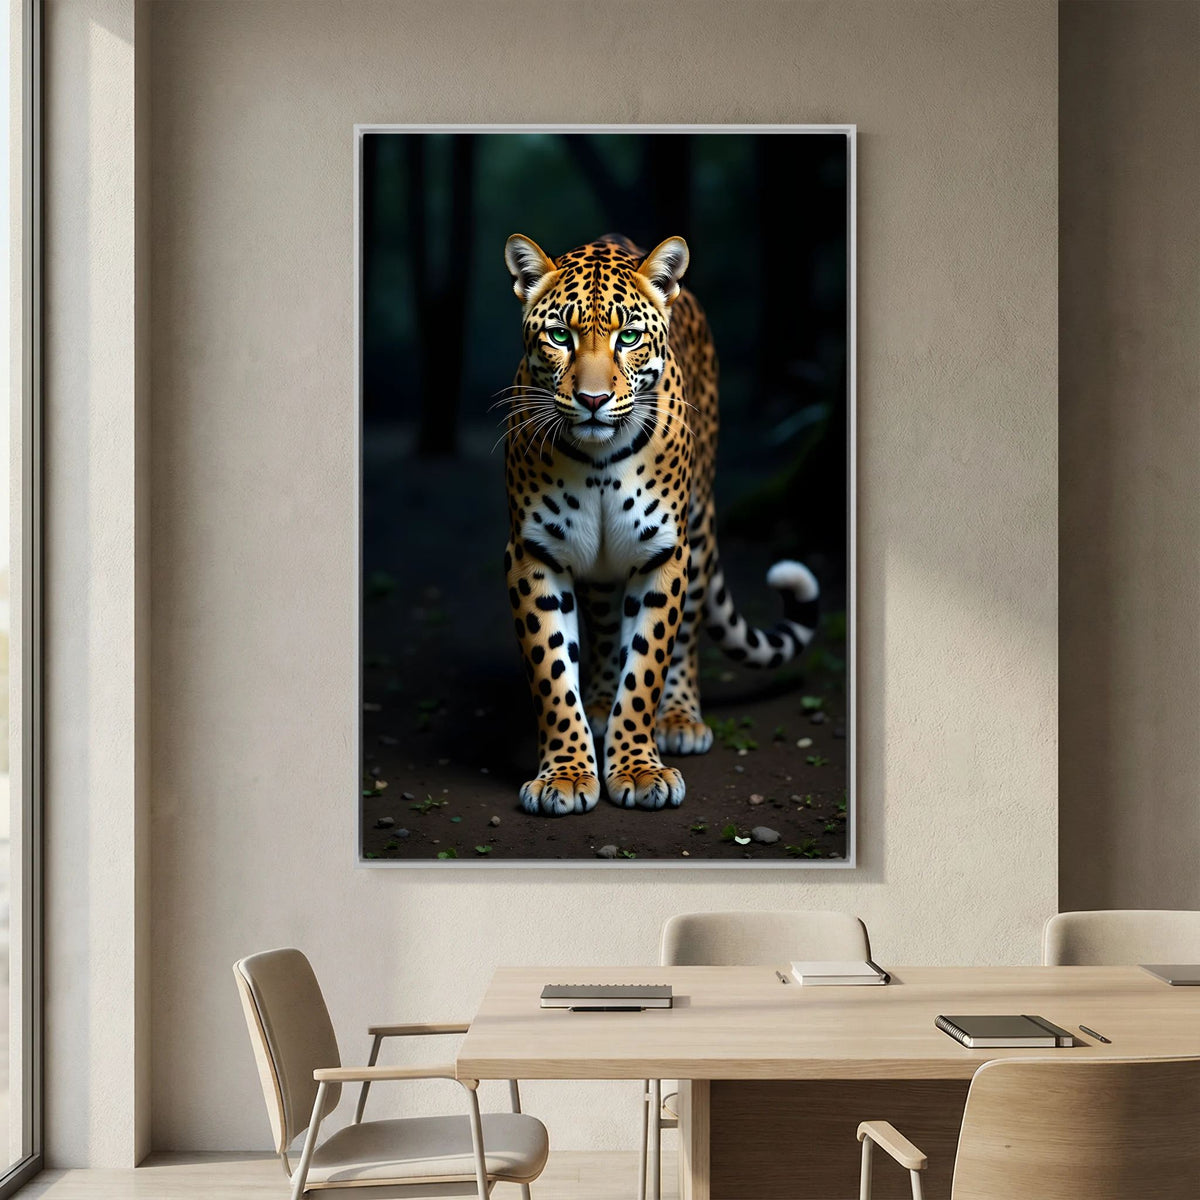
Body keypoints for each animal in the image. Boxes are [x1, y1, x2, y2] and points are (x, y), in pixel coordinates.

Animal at [502, 232, 820, 817]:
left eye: (628, 337)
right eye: (560, 335)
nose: (593, 400)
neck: (599, 461)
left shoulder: (663, 554)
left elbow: (647, 665)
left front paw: (638, 769)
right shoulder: (534, 553)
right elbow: (553, 672)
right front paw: (566, 774)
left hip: (698, 529)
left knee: (687, 633)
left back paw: (678, 718)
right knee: (605, 628)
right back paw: (598, 703)